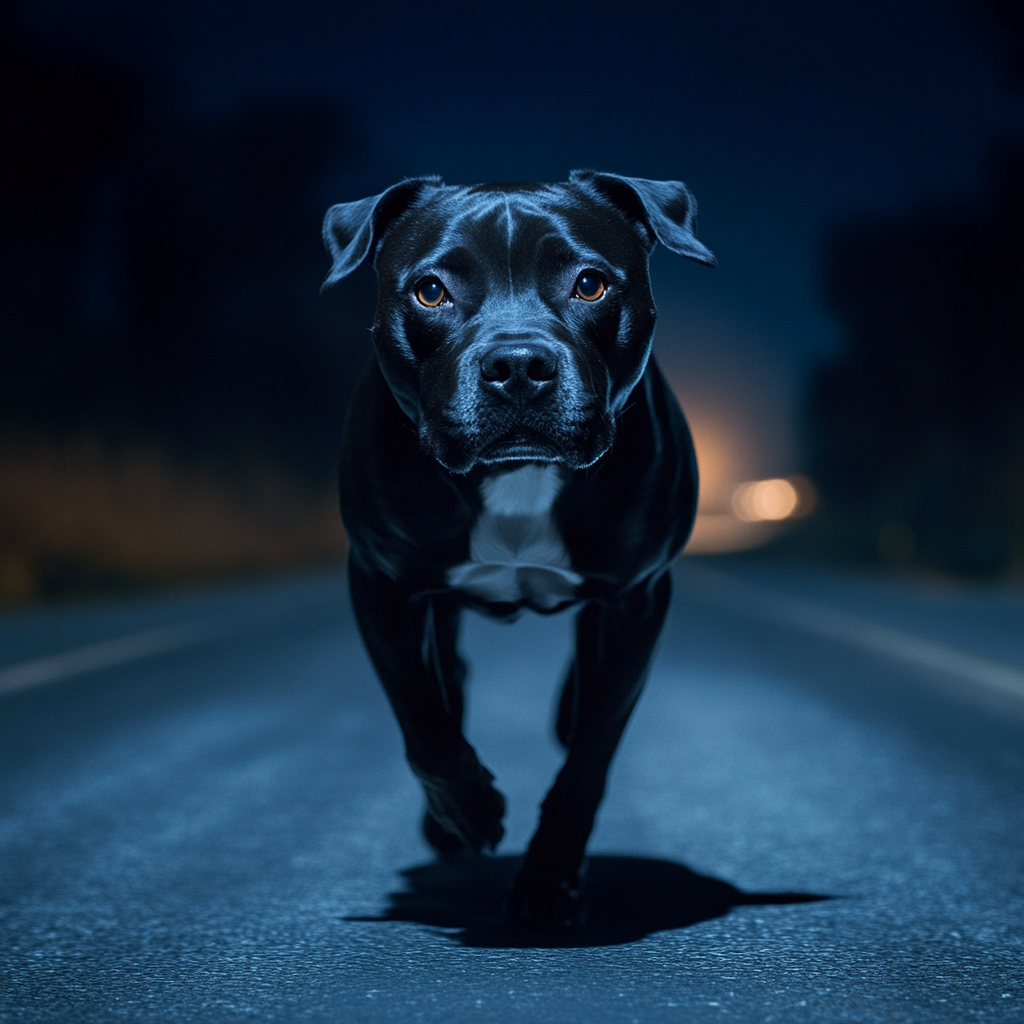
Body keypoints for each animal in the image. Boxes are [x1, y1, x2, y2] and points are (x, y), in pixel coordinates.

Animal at [319, 169, 712, 929]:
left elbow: (590, 753)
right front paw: (470, 812)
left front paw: (549, 879)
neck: (518, 478)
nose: (520, 364)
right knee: (449, 679)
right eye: (431, 291)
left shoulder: (636, 597)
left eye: (591, 284)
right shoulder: (382, 581)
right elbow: (423, 717)